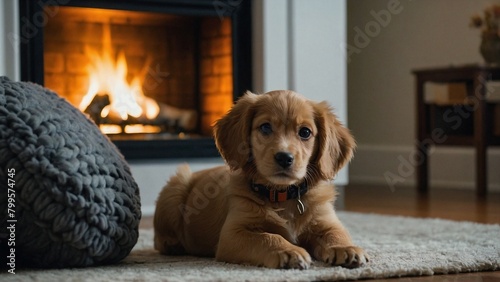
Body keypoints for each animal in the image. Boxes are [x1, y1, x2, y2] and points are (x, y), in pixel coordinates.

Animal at [154, 90, 370, 268]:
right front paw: (289, 250)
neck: (283, 195)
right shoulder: (233, 234)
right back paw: (172, 244)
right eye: (265, 127)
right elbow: (268, 237)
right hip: (176, 187)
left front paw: (347, 248)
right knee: (158, 240)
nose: (284, 158)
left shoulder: (325, 220)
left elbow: (337, 233)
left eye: (305, 132)